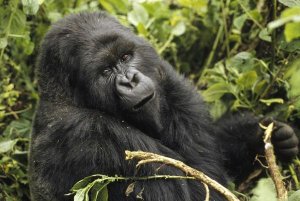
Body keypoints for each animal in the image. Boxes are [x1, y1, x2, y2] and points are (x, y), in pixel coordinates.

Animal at [28, 12, 298, 201]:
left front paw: (260, 137)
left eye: (126, 57)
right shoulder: (90, 133)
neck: (66, 96)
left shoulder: (167, 77)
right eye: (105, 71)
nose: (130, 81)